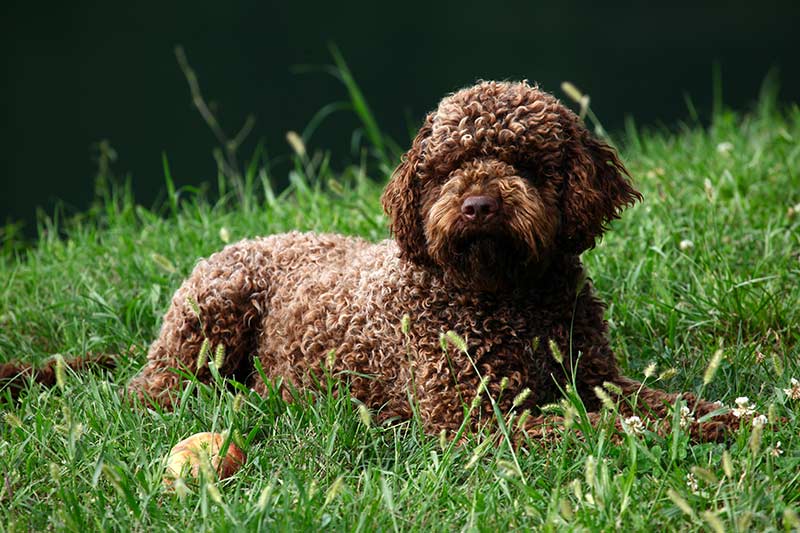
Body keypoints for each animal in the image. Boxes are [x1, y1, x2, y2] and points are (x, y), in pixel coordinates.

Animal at [123, 81, 736, 438]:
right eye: (448, 166)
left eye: (526, 161)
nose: (479, 205)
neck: (510, 299)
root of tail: (246, 241)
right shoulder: (472, 418)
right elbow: (590, 430)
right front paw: (655, 437)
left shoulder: (596, 377)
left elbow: (673, 402)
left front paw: (730, 419)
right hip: (212, 319)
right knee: (154, 389)